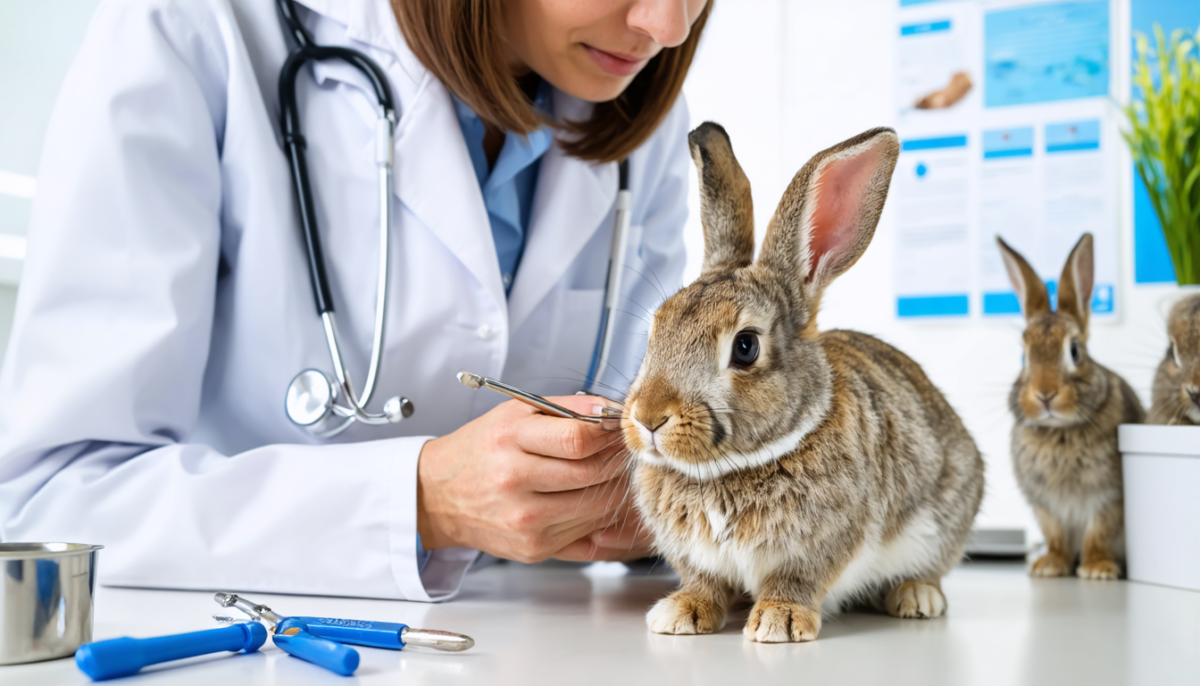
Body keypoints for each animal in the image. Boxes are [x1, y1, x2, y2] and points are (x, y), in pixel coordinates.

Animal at [622, 123, 985, 644]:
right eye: (656, 327)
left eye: (746, 347)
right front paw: (680, 614)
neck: (730, 469)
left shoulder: (819, 547)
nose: (648, 417)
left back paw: (916, 597)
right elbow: (704, 583)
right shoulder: (698, 559)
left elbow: (795, 581)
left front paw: (780, 621)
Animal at [995, 233, 1145, 581]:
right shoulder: (1045, 504)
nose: (1045, 394)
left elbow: (1098, 532)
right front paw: (1050, 566)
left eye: (1074, 350)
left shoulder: (1109, 497)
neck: (1059, 431)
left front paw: (1097, 569)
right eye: (1024, 356)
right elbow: (1055, 535)